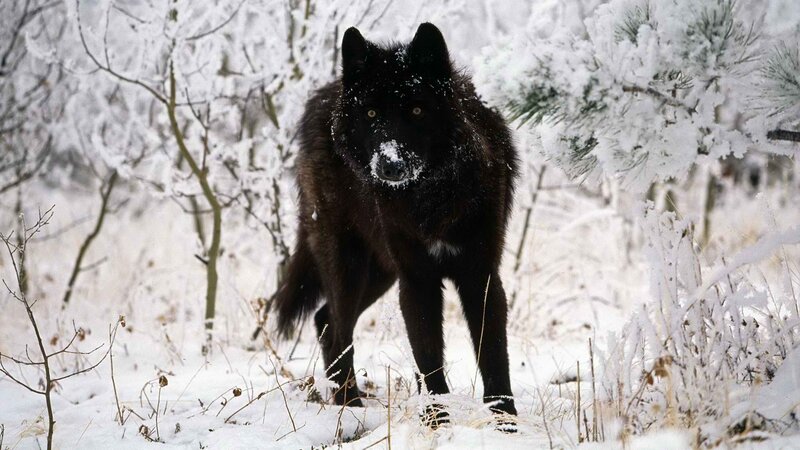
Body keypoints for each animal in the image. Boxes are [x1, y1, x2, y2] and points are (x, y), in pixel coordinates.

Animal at [274, 23, 518, 422]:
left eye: (417, 110)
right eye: (372, 114)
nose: (390, 165)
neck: (431, 198)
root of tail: (323, 96)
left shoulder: (480, 275)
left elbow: (494, 355)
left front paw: (506, 421)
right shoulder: (416, 279)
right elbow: (428, 358)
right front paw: (436, 420)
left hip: (380, 273)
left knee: (324, 320)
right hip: (349, 266)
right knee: (336, 327)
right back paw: (350, 407)